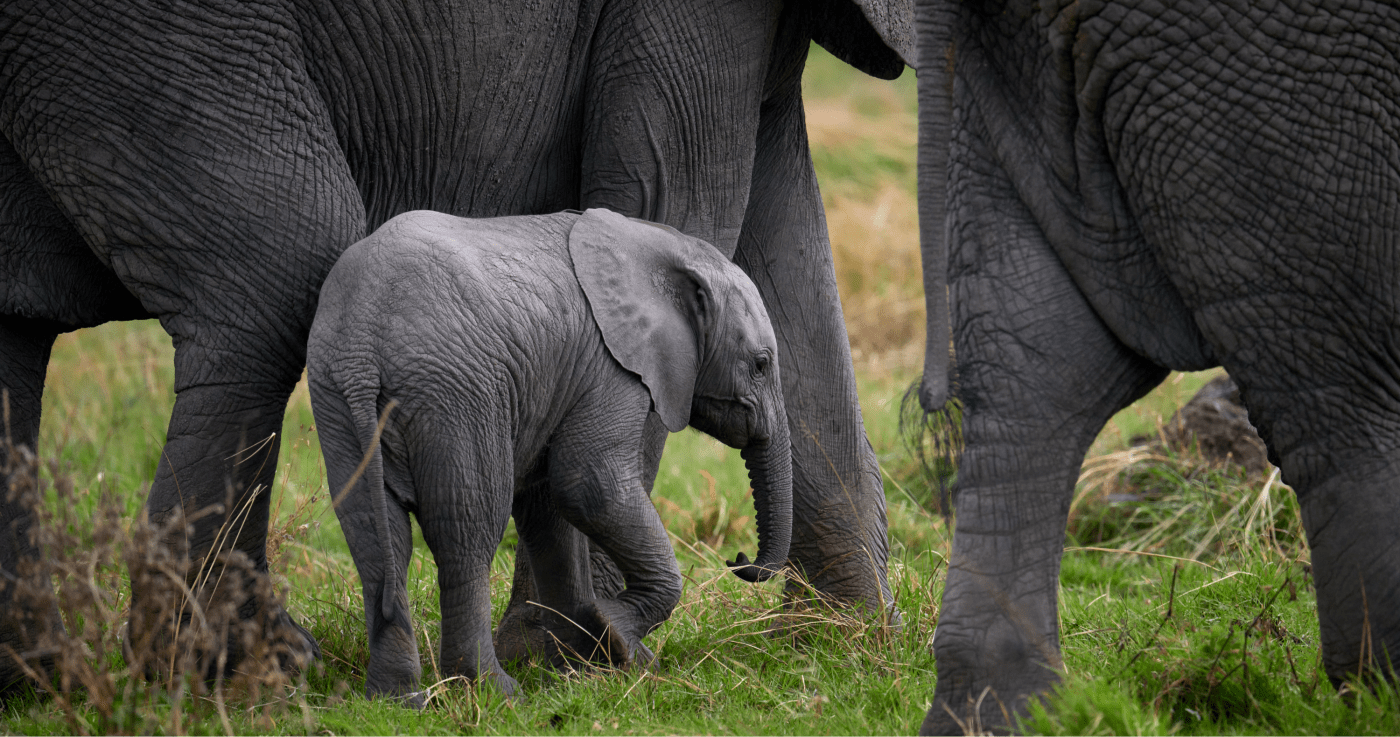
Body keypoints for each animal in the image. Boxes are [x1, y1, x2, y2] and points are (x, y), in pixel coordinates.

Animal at [308, 207, 792, 699]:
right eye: (761, 364)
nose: (738, 561)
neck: (660, 243)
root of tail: (363, 345)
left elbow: (549, 513)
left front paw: (588, 668)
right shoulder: (610, 367)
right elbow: (588, 485)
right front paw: (614, 639)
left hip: (336, 394)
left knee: (374, 536)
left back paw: (397, 698)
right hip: (456, 394)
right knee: (467, 532)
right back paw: (495, 692)